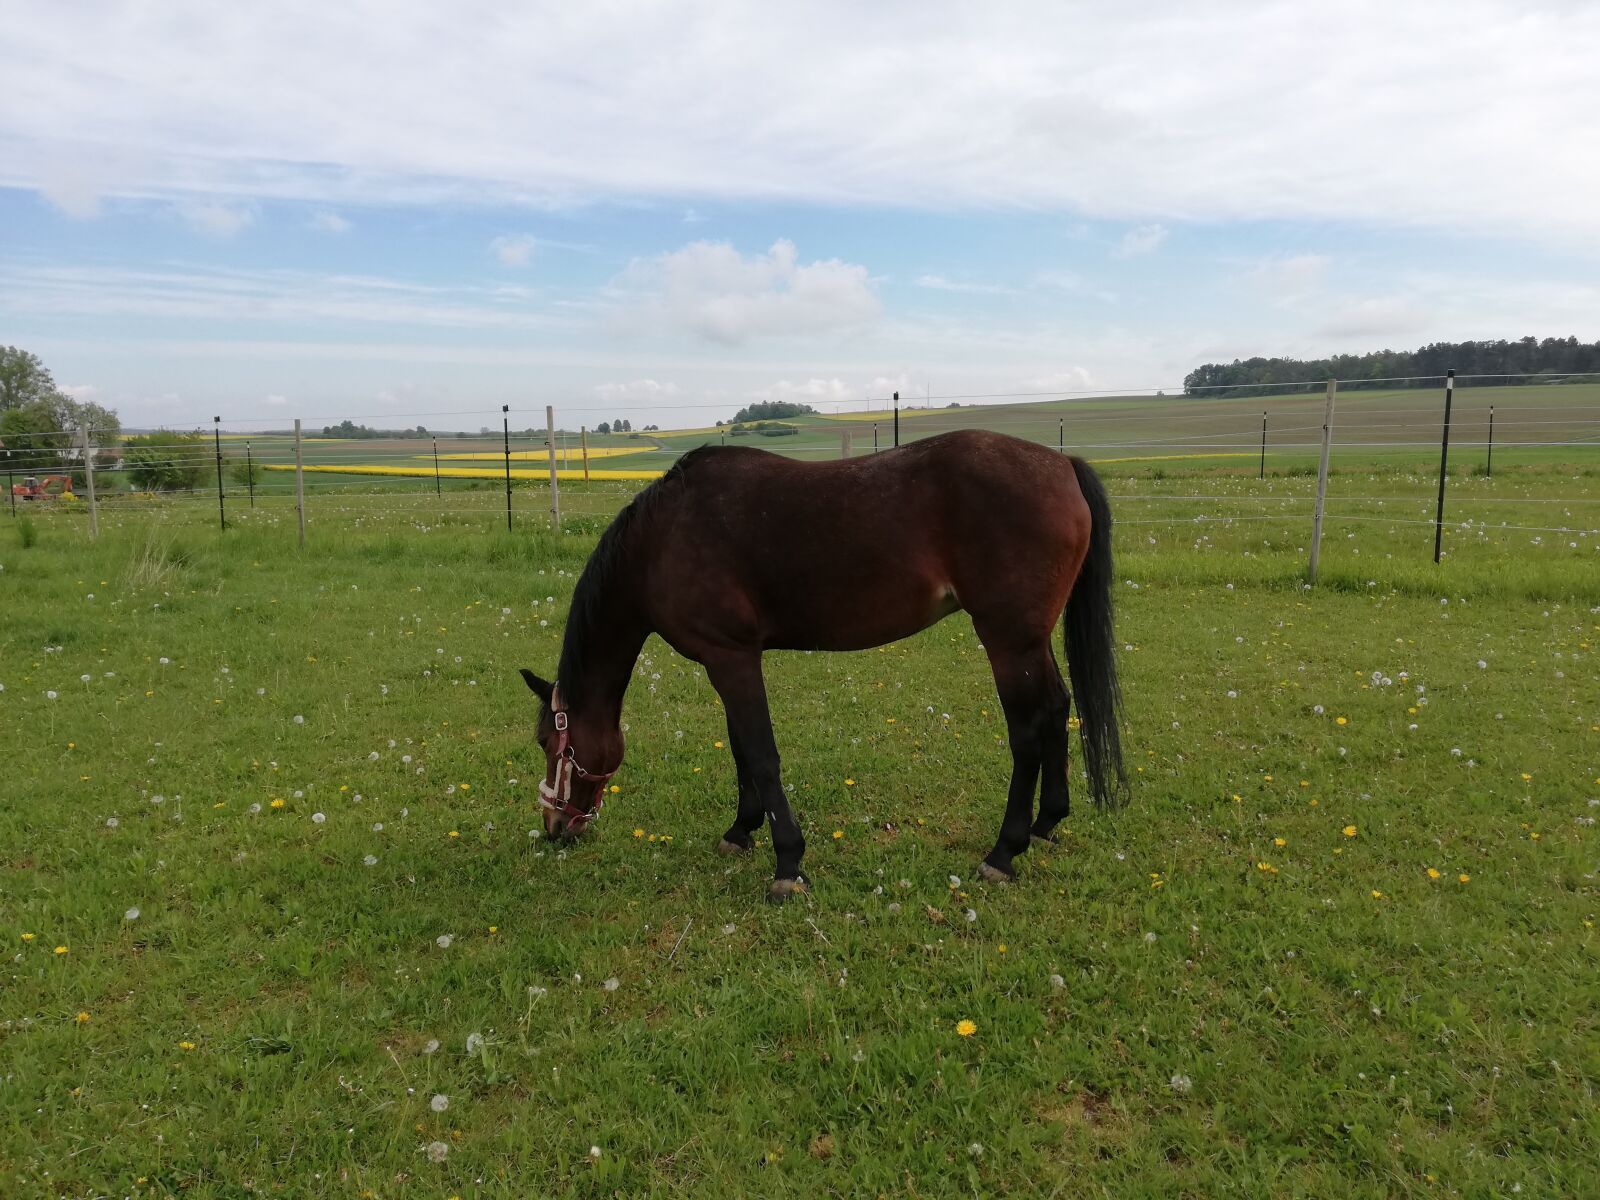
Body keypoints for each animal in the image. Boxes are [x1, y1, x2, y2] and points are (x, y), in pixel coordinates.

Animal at [519, 428, 1126, 902]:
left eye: (552, 744)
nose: (554, 825)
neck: (664, 538)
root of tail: (1062, 466)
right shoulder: (728, 660)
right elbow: (741, 750)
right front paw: (740, 831)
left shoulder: (731, 657)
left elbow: (761, 755)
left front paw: (788, 865)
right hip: (1030, 642)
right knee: (1058, 709)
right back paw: (1047, 823)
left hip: (1009, 642)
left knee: (1027, 730)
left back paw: (1004, 851)